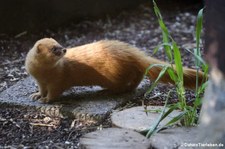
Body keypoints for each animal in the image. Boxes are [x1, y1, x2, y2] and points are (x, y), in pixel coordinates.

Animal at [25, 37, 206, 103]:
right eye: (54, 48)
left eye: (60, 44)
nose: (64, 50)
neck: (43, 74)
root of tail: (131, 52)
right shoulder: (40, 81)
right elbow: (41, 89)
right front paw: (36, 95)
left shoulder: (58, 81)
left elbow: (55, 92)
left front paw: (45, 100)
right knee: (137, 77)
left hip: (114, 75)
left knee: (125, 83)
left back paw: (105, 91)